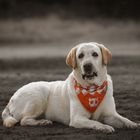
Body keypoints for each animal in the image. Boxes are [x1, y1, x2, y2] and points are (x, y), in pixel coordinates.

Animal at [1, 42, 139, 133]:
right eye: (80, 56)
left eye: (95, 54)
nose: (87, 66)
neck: (92, 89)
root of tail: (11, 98)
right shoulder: (77, 118)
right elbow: (95, 122)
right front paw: (104, 127)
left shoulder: (110, 114)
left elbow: (123, 119)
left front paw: (133, 124)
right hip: (39, 95)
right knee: (24, 120)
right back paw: (42, 122)